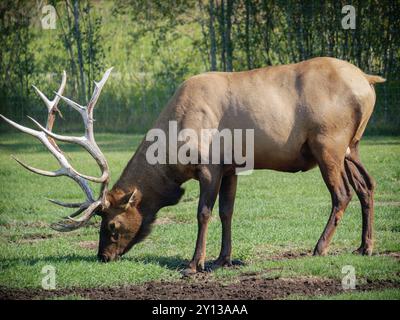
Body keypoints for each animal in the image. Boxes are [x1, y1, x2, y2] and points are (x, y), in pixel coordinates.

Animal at [1, 57, 386, 276]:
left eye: (110, 225)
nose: (102, 258)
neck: (171, 151)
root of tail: (369, 82)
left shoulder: (209, 165)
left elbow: (203, 212)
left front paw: (193, 264)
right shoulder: (232, 167)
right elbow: (228, 211)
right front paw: (222, 260)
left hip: (328, 144)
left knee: (341, 194)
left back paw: (320, 248)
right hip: (352, 146)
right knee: (367, 186)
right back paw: (364, 247)